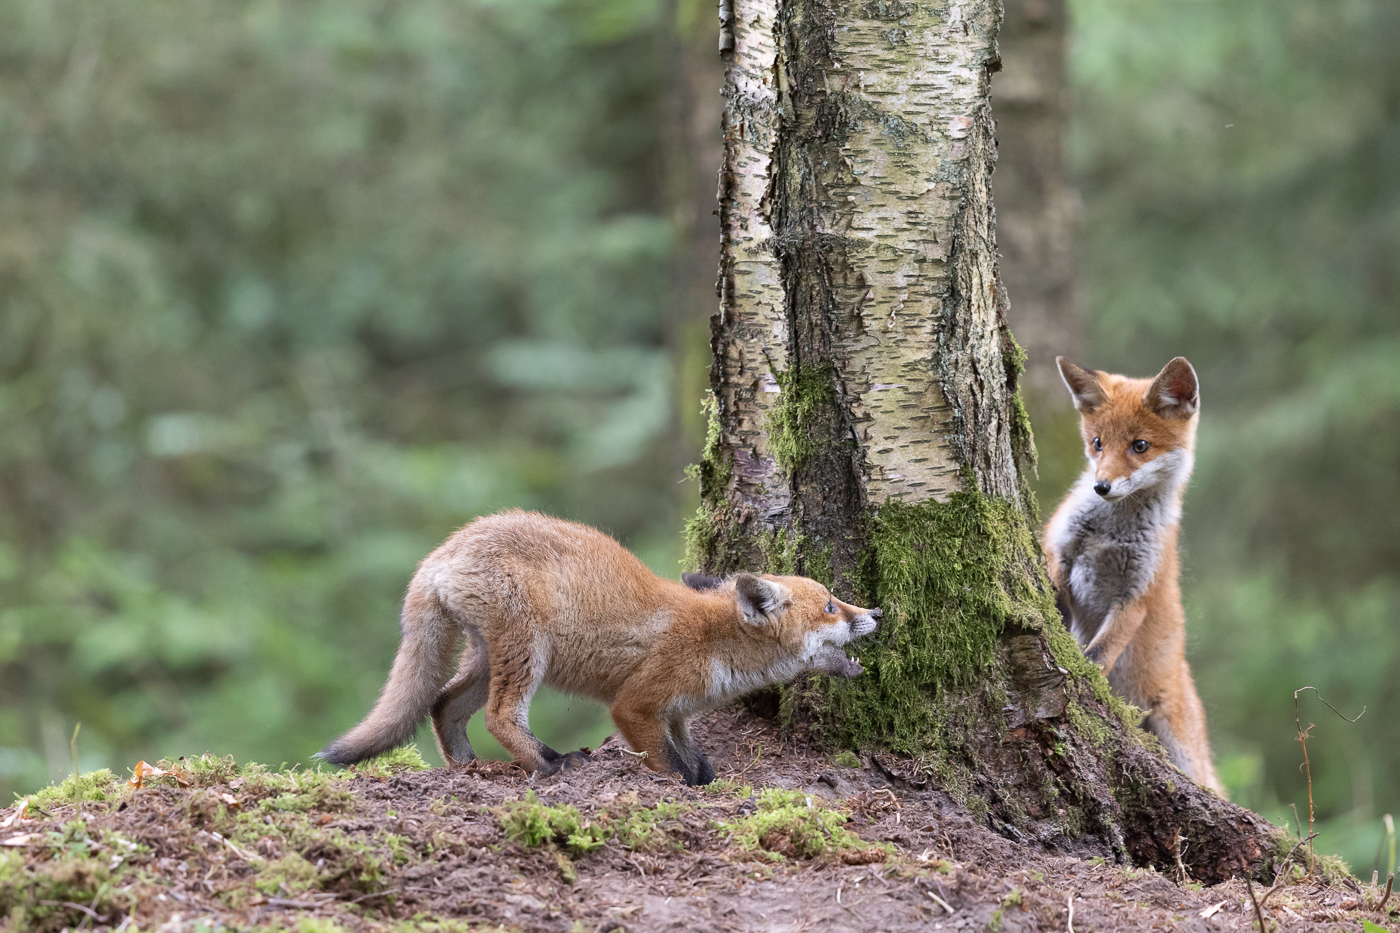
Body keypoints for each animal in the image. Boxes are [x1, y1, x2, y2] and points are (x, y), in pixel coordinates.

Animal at [322, 504, 879, 778]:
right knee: (499, 716)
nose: (875, 612)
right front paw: (682, 785)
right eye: (831, 606)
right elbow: (670, 764)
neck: (713, 641)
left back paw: (465, 766)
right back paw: (549, 764)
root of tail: (443, 550)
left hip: (487, 660)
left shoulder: (676, 712)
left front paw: (705, 775)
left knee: (441, 704)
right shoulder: (635, 705)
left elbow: (691, 752)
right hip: (528, 651)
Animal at [1041, 355, 1226, 790]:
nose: (1101, 487)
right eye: (1098, 443)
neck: (1113, 531)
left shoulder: (1136, 595)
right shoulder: (1059, 552)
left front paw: (1083, 676)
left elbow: (1099, 655)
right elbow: (1056, 594)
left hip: (1180, 749)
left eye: (1139, 446)